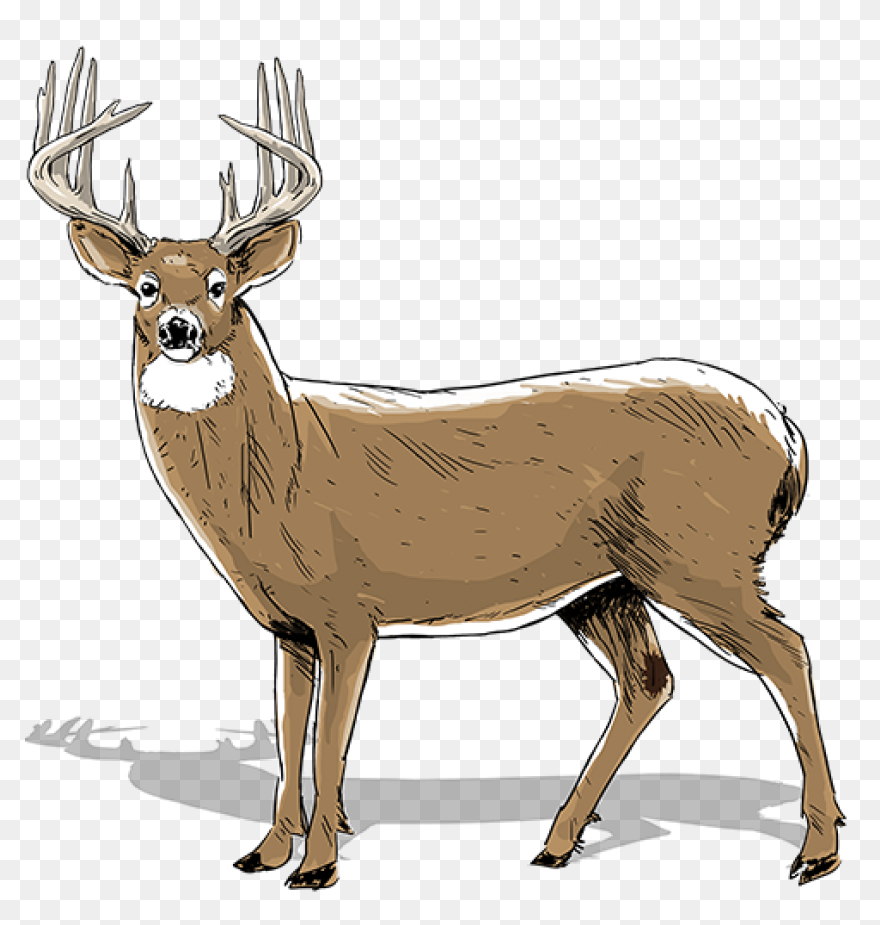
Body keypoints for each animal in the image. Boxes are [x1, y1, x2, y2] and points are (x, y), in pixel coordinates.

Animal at [28, 50, 844, 890]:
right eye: (147, 286)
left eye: (222, 284)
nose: (179, 329)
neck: (279, 469)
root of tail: (786, 430)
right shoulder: (288, 623)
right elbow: (287, 733)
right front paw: (265, 850)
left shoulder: (348, 608)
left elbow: (327, 741)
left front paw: (318, 863)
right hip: (607, 583)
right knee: (649, 681)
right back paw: (559, 838)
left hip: (702, 553)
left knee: (788, 650)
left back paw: (817, 847)